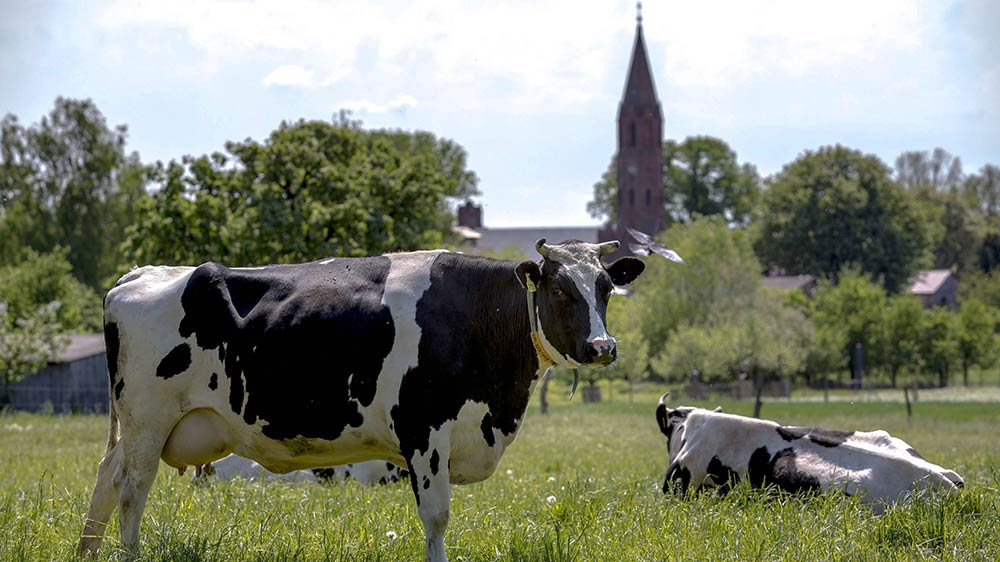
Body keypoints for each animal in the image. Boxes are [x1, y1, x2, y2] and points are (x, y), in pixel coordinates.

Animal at [79, 239, 645, 562]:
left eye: (605, 288)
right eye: (561, 291)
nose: (602, 347)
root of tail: (142, 273)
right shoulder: (424, 430)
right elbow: (436, 517)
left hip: (136, 427)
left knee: (106, 479)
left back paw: (88, 551)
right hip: (148, 420)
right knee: (132, 490)